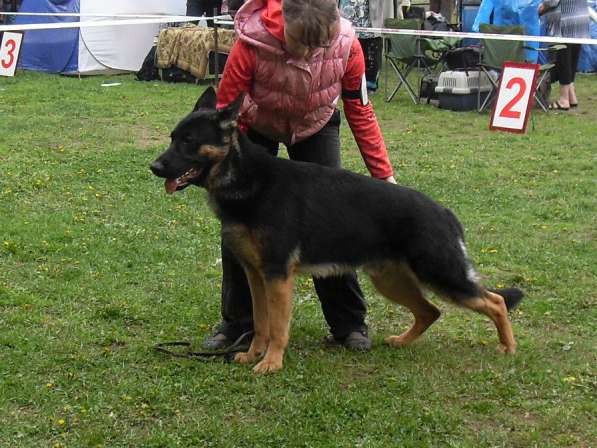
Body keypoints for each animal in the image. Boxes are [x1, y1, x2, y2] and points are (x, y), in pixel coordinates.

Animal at [150, 87, 520, 374]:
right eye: (173, 138)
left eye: (189, 141)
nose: (154, 167)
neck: (245, 178)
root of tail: (444, 212)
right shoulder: (257, 277)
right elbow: (260, 324)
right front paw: (253, 355)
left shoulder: (277, 278)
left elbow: (278, 327)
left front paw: (271, 363)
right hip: (391, 281)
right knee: (431, 311)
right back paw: (402, 341)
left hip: (441, 275)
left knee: (496, 301)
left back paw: (509, 348)